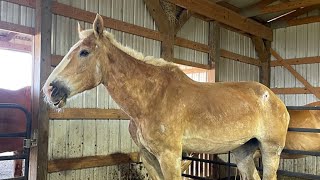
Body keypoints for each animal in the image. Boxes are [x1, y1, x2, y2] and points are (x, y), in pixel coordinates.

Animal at [43, 14, 290, 180]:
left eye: (84, 52)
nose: (49, 89)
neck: (151, 98)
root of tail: (275, 99)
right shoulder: (149, 158)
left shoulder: (170, 156)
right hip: (243, 152)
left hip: (271, 151)